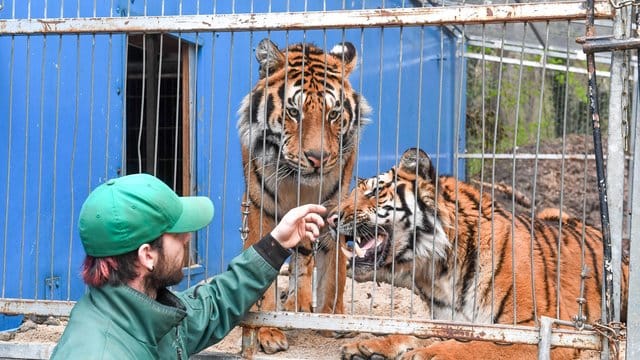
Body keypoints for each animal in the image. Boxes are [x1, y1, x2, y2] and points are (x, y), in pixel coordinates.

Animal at [238, 38, 372, 352]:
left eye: (333, 114)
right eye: (294, 113)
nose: (317, 158)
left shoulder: (334, 210)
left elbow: (332, 274)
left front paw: (332, 319)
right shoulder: (260, 209)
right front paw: (267, 331)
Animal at [328, 148, 628, 358]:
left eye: (375, 192)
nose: (330, 218)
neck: (439, 270)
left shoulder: (550, 333)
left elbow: (483, 345)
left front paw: (430, 354)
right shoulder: (446, 321)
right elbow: (417, 332)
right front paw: (369, 345)